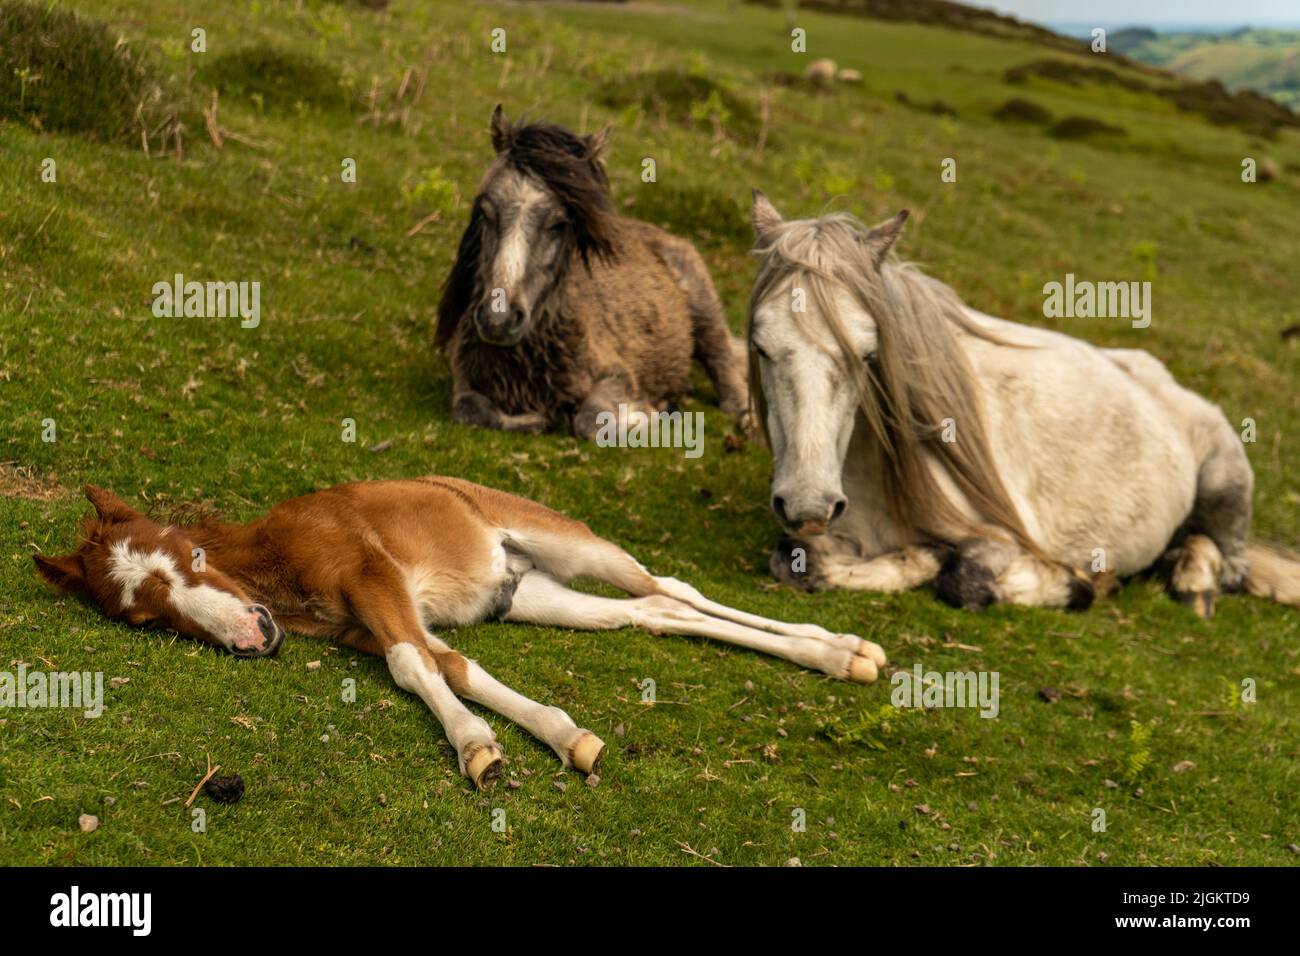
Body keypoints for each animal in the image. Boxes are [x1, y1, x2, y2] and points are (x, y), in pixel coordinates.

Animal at [34, 481, 884, 789]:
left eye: (194, 556)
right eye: (146, 618)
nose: (253, 633)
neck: (277, 561)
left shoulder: (372, 577)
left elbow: (420, 664)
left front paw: (479, 747)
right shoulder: (367, 623)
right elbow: (449, 663)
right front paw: (555, 739)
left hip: (573, 544)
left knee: (669, 587)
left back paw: (842, 647)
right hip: (533, 596)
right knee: (648, 613)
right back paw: (840, 655)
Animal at [436, 105, 751, 439]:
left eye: (559, 223)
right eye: (486, 212)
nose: (499, 320)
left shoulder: (617, 375)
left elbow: (590, 419)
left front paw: (649, 414)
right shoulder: (465, 381)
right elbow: (470, 411)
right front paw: (533, 420)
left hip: (705, 311)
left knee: (726, 371)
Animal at [745, 190, 1300, 617]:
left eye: (866, 353)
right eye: (761, 347)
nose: (809, 505)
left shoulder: (998, 538)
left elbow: (962, 580)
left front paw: (1072, 584)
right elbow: (796, 560)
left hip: (1225, 478)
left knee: (1226, 562)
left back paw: (1193, 586)